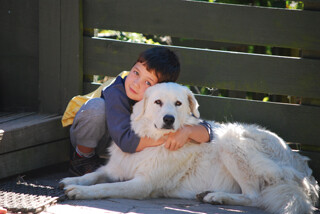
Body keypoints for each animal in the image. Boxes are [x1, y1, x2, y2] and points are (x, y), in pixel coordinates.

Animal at [60, 83, 318, 213]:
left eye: (178, 103)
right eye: (157, 102)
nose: (169, 119)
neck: (154, 140)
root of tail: (302, 168)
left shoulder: (142, 185)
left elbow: (104, 187)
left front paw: (79, 192)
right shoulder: (116, 168)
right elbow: (95, 175)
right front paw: (73, 180)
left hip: (232, 140)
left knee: (254, 197)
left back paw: (217, 197)